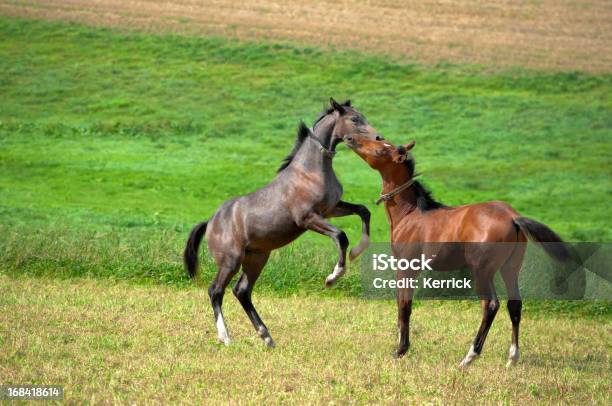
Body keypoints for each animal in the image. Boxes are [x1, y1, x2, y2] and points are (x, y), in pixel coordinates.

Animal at [183, 100, 382, 348]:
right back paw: (226, 337)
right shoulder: (308, 218)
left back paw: (267, 337)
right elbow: (340, 236)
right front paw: (332, 277)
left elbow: (363, 211)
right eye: (354, 119)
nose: (378, 138)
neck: (310, 171)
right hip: (231, 261)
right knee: (216, 290)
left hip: (256, 259)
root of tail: (210, 222)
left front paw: (358, 250)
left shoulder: (332, 209)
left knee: (242, 291)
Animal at [344, 135, 580, 366]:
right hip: (510, 268)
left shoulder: (407, 266)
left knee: (491, 304)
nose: (349, 138)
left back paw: (469, 356)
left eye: (380, 150)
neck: (411, 213)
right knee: (514, 304)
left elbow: (404, 304)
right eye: (379, 139)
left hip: (482, 271)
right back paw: (512, 357)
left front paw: (400, 350)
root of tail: (512, 217)